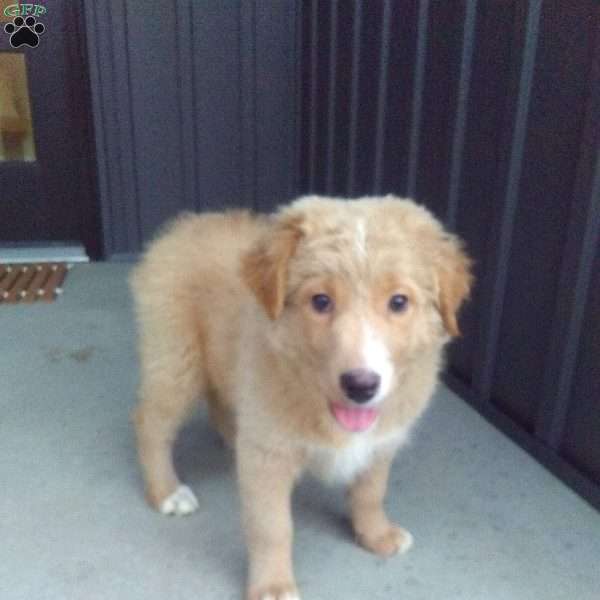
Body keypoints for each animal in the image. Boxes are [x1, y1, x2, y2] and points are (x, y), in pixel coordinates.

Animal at [131, 197, 474, 600]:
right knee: (150, 424)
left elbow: (371, 493)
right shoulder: (269, 455)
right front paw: (273, 585)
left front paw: (376, 535)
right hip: (176, 362)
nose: (361, 386)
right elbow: (272, 528)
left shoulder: (381, 440)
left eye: (399, 302)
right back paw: (166, 492)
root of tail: (184, 225)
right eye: (321, 301)